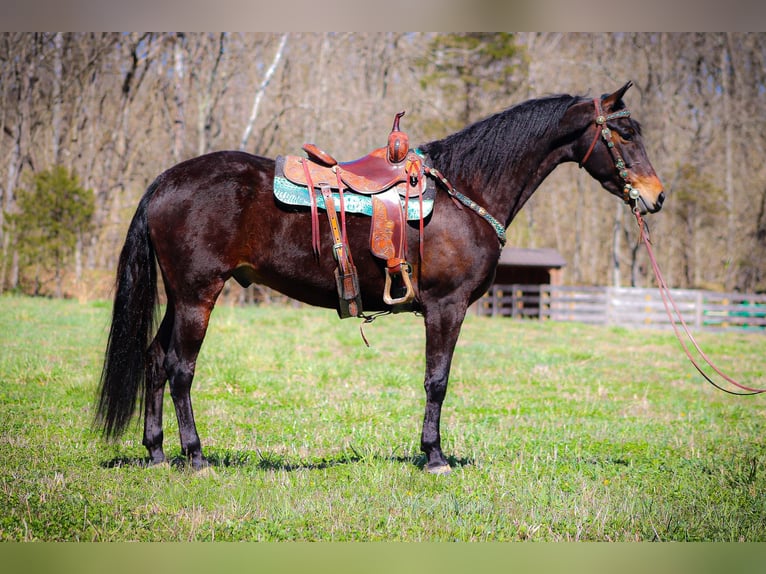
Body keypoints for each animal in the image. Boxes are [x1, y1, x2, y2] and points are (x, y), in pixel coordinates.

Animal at [97, 82, 664, 476]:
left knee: (155, 360)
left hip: (181, 297)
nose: (656, 196)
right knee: (180, 370)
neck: (467, 191)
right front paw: (434, 457)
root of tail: (165, 181)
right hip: (198, 296)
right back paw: (195, 458)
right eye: (624, 133)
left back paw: (157, 454)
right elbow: (437, 381)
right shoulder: (446, 307)